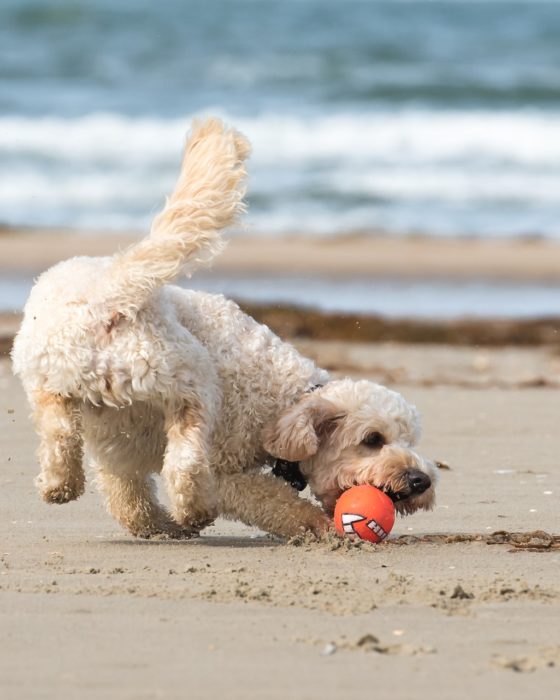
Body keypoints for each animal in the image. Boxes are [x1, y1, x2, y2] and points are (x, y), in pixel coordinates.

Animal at [10, 117, 436, 540]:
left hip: (53, 379)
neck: (284, 402)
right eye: (372, 440)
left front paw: (157, 526)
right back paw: (192, 510)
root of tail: (111, 292)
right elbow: (274, 501)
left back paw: (63, 485)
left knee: (66, 434)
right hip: (192, 379)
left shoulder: (117, 450)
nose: (421, 481)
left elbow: (128, 500)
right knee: (185, 460)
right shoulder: (226, 468)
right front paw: (317, 525)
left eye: (409, 439)